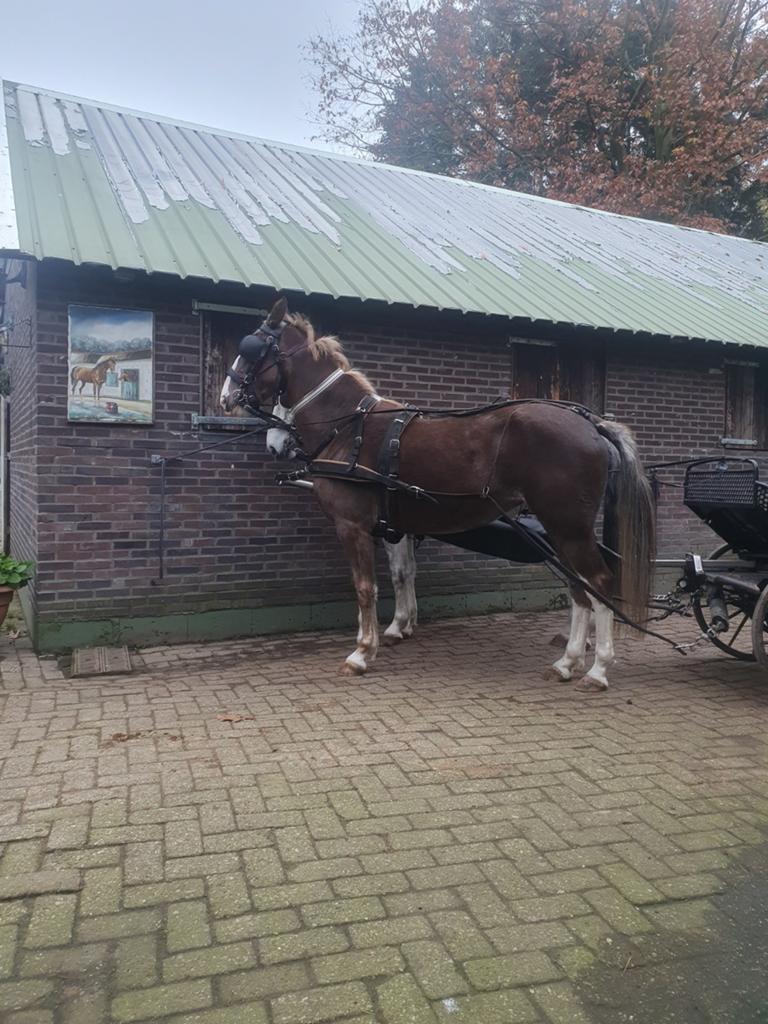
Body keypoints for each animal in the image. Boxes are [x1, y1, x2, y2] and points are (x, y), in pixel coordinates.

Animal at [221, 298, 655, 692]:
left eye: (250, 348)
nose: (225, 397)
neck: (348, 427)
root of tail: (593, 423)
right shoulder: (392, 527)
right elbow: (398, 576)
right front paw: (395, 630)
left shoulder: (353, 526)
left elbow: (365, 588)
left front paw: (362, 652)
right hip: (561, 530)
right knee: (579, 589)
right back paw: (567, 663)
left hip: (568, 527)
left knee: (597, 582)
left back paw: (598, 670)